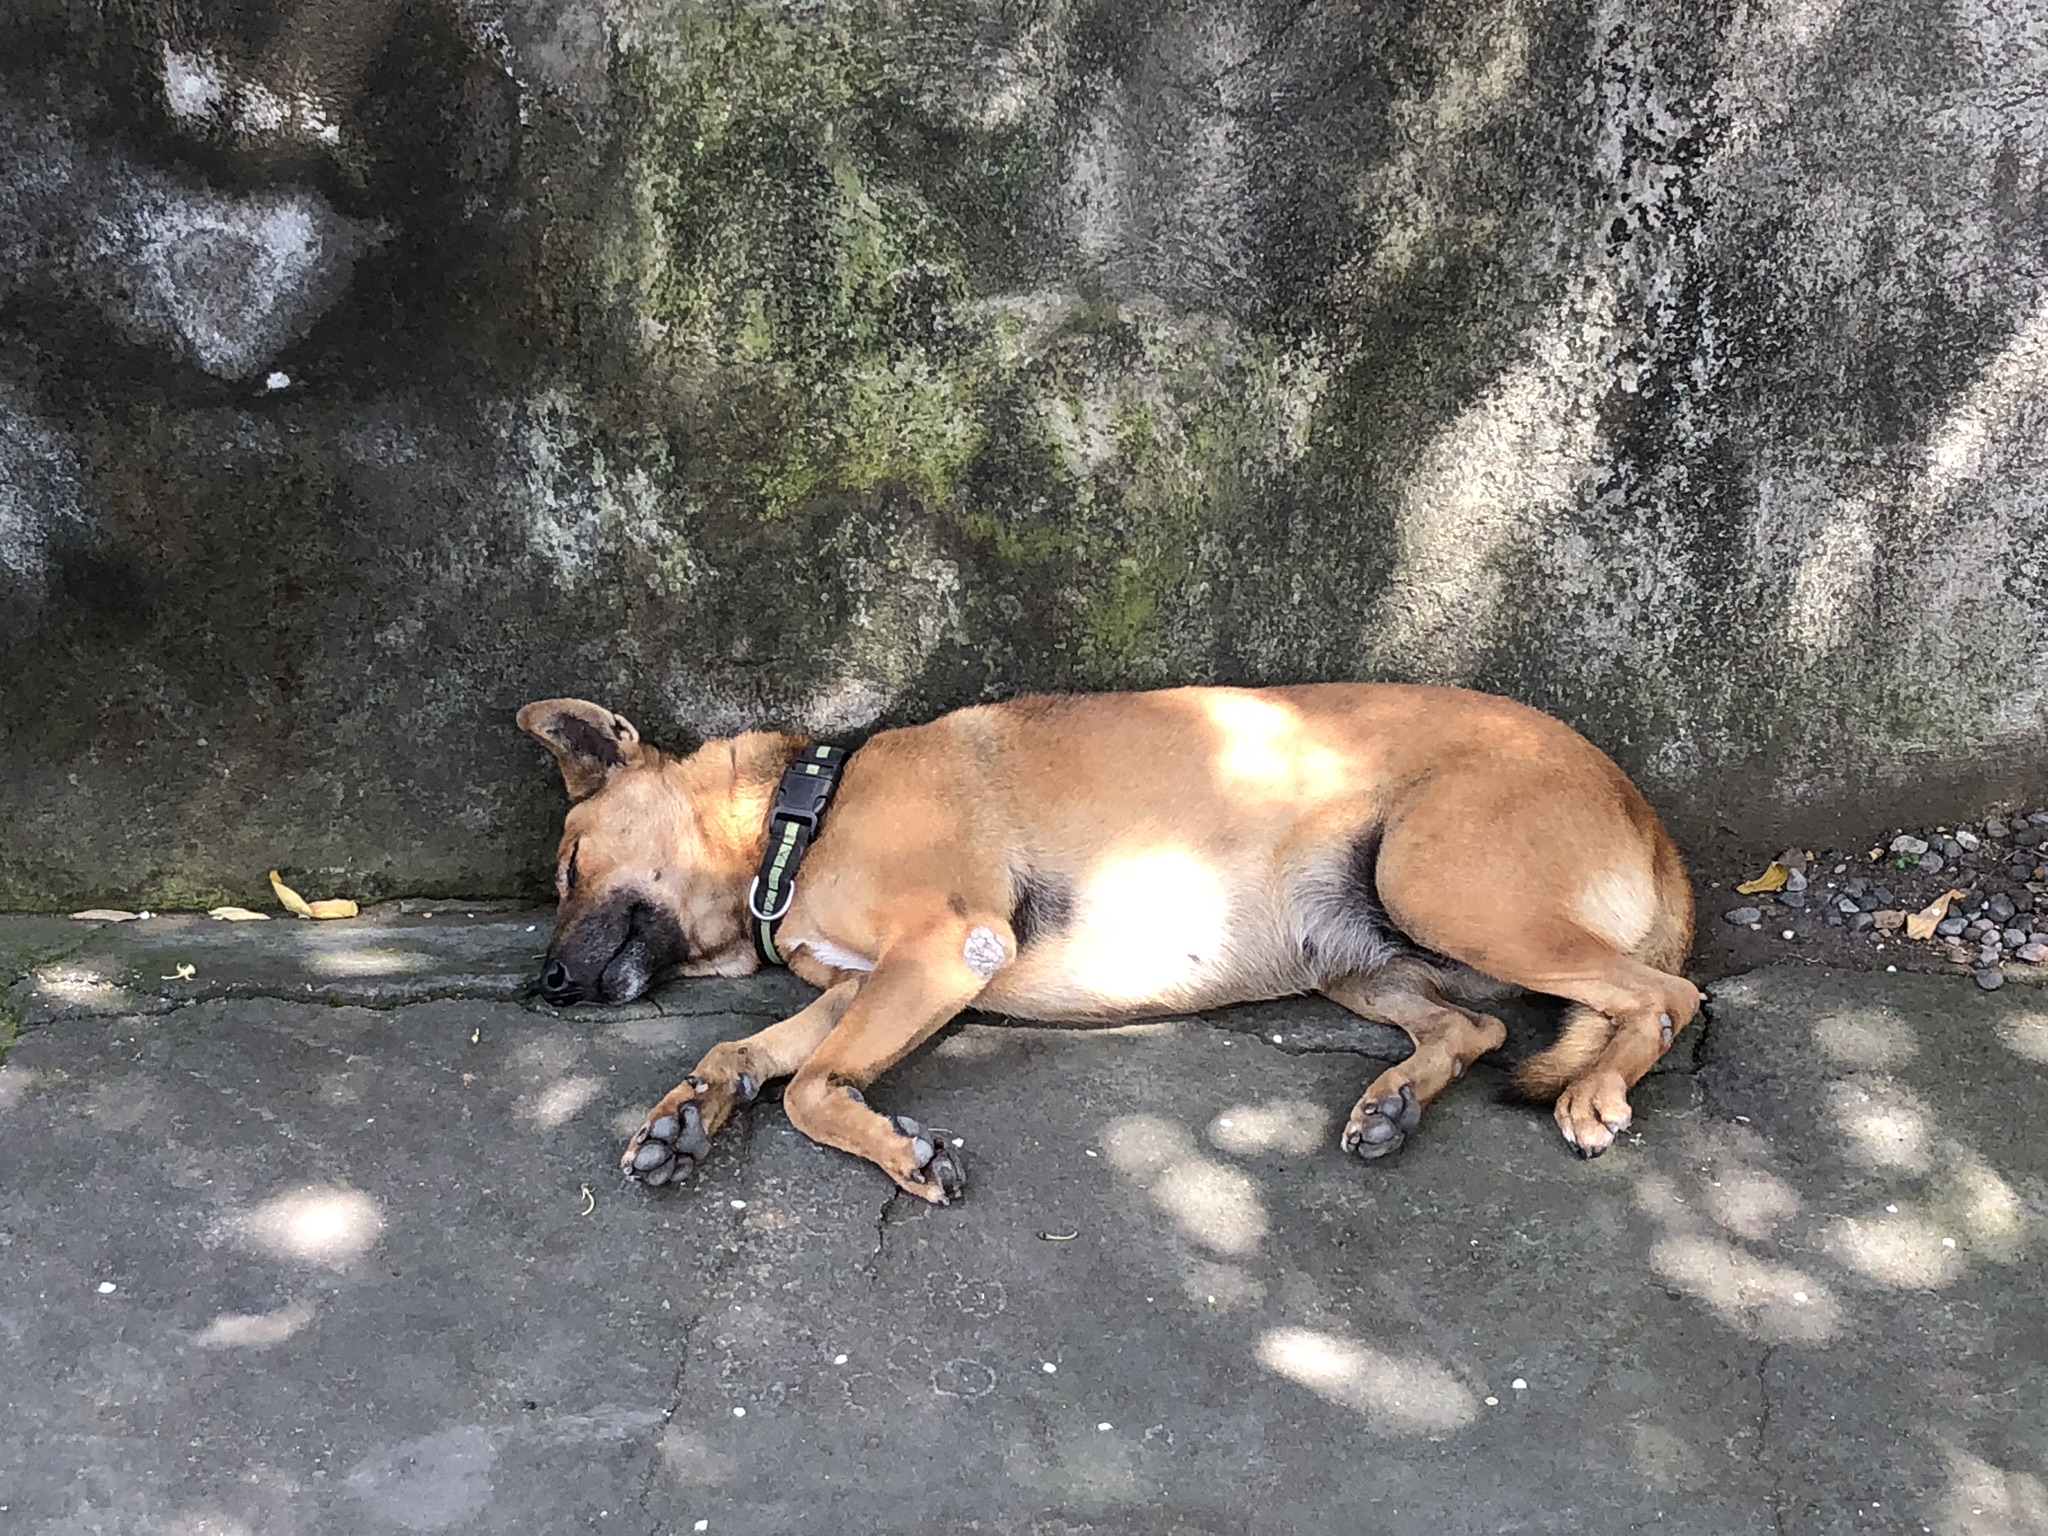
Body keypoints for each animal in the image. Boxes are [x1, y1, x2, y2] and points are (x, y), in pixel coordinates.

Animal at [519, 684, 1698, 1204]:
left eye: (569, 864)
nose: (545, 986)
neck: (797, 821)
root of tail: (1645, 813)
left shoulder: (946, 950)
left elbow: (809, 1088)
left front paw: (904, 1152)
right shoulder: (867, 984)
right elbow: (746, 1054)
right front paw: (683, 1118)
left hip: (1438, 880)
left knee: (1668, 996)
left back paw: (1594, 1094)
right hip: (1355, 952)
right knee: (1478, 1026)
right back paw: (1392, 1102)